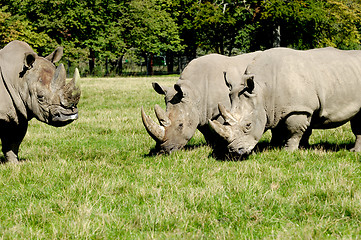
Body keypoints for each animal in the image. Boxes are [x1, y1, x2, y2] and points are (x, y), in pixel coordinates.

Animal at [207, 47, 360, 158]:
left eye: (248, 125)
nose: (234, 151)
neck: (262, 90)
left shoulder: (298, 109)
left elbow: (293, 131)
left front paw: (288, 151)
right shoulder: (273, 109)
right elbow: (276, 129)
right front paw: (273, 147)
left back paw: (354, 152)